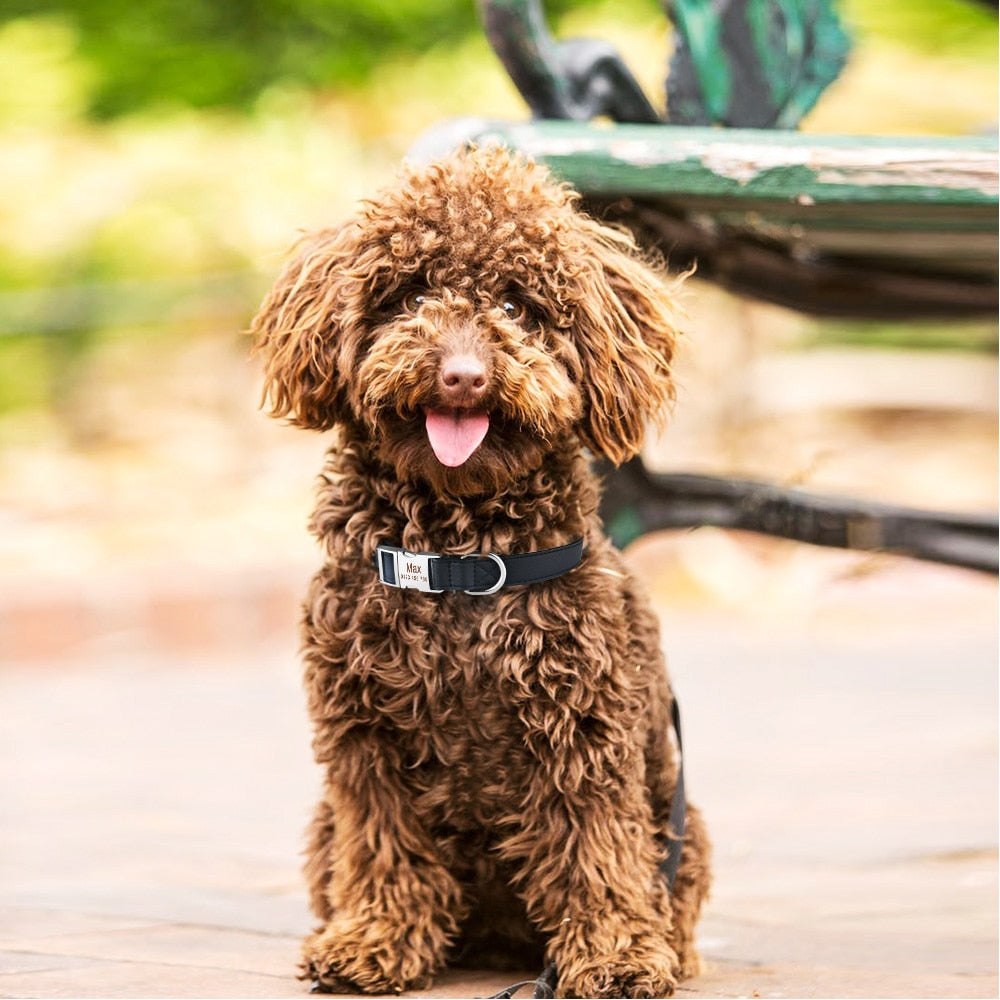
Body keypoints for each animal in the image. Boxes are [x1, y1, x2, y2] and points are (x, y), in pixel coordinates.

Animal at [254, 145, 716, 996]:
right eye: (410, 295)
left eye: (517, 304)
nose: (462, 375)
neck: (459, 560)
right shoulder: (363, 741)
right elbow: (386, 847)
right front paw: (374, 940)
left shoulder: (582, 728)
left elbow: (597, 849)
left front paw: (617, 954)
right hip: (323, 825)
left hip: (681, 816)